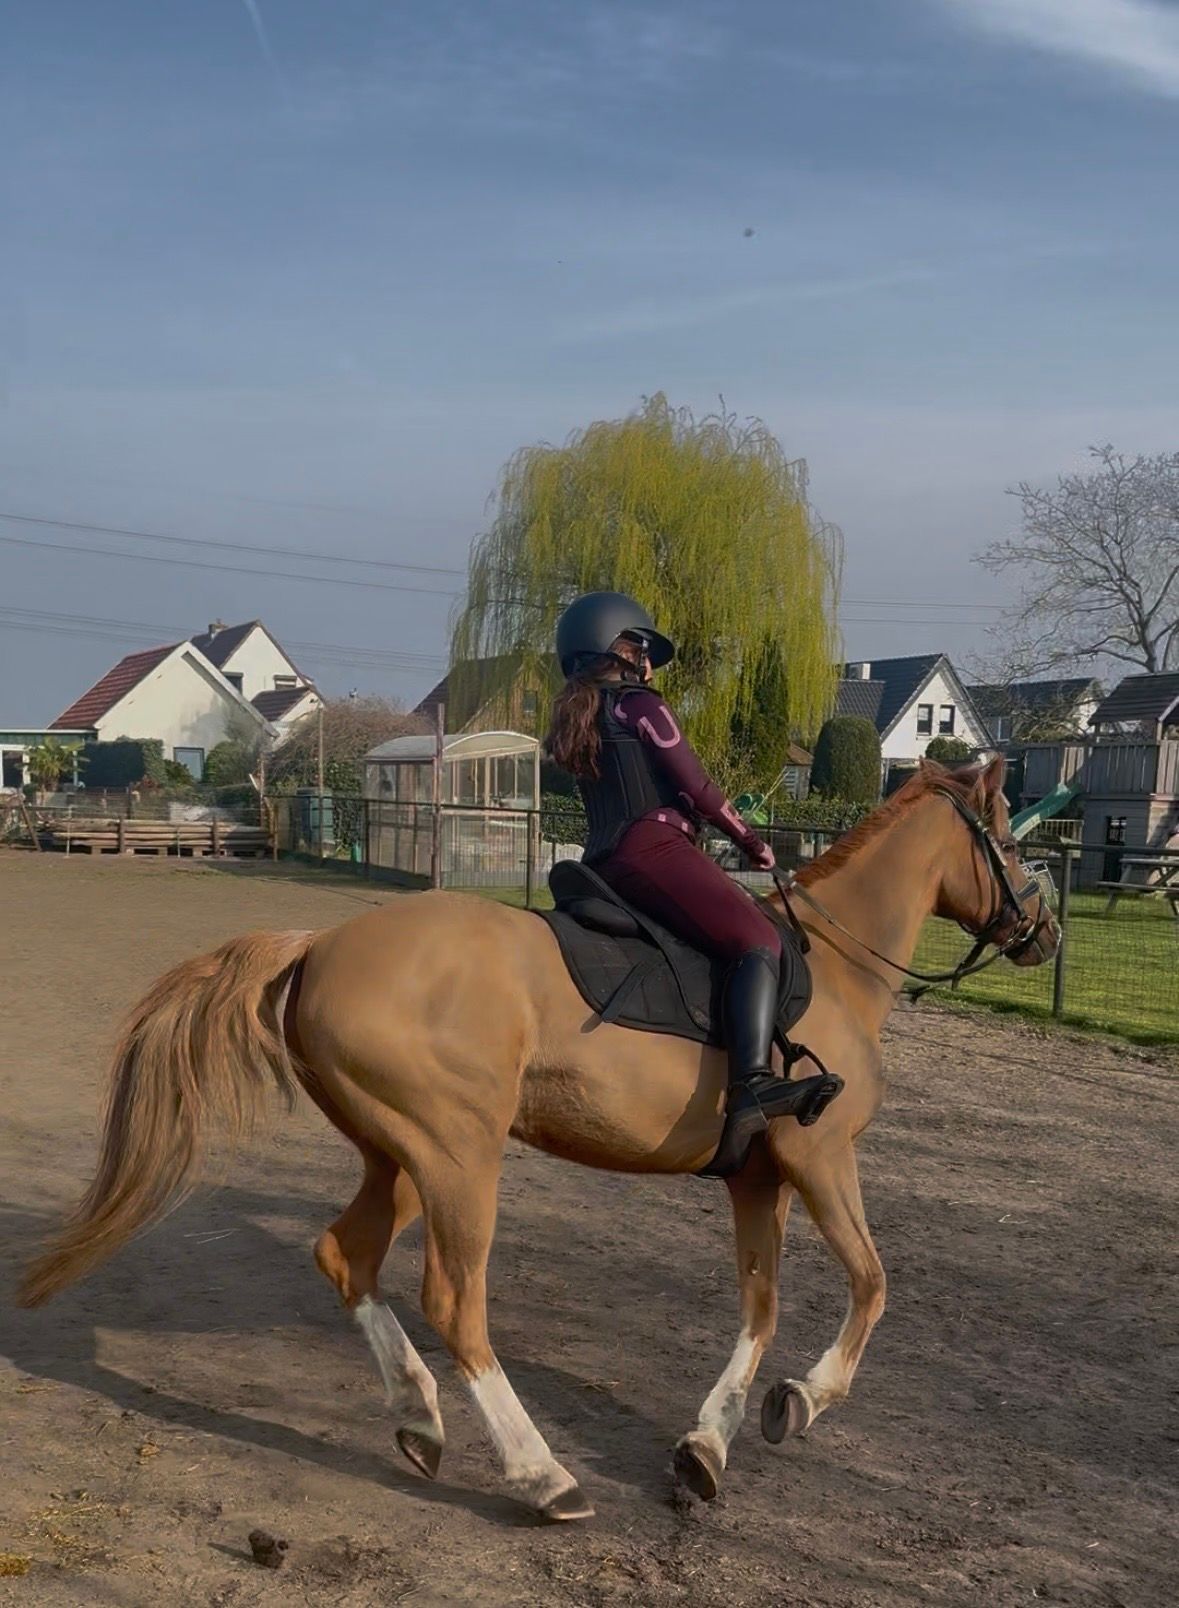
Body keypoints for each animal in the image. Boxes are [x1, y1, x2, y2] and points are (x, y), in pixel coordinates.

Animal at [17, 757, 1058, 1522]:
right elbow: (871, 1284)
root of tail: (318, 946)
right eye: (1008, 841)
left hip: (401, 1159)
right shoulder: (818, 1158)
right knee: (454, 1304)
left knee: (345, 1255)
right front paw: (801, 1402)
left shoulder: (755, 1179)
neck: (835, 967)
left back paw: (420, 1420)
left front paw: (707, 1446)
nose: (1044, 933)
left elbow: (758, 1310)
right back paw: (539, 1475)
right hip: (457, 1158)